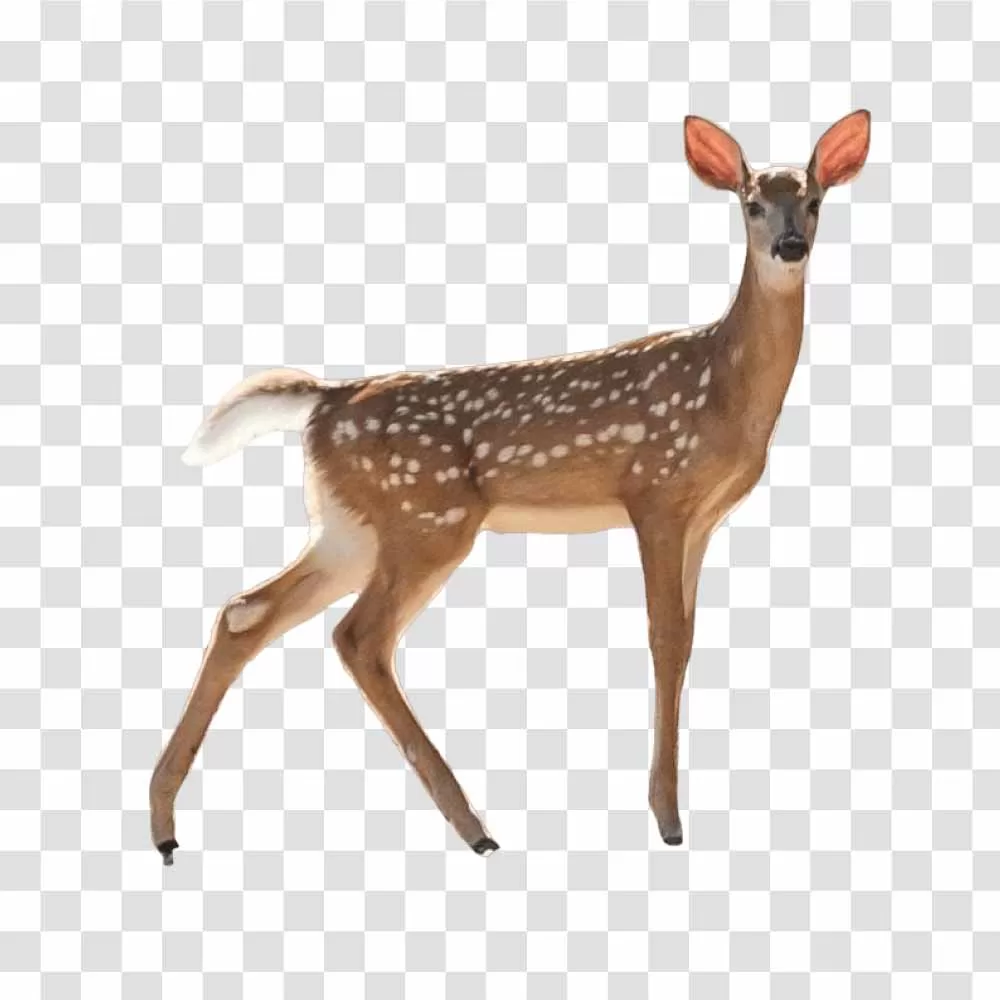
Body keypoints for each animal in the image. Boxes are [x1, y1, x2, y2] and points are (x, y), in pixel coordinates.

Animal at [150, 111, 871, 865]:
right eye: (751, 204)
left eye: (814, 201)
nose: (790, 246)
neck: (724, 389)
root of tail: (324, 402)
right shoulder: (654, 493)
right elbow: (665, 637)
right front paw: (668, 819)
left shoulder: (702, 518)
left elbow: (687, 638)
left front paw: (668, 810)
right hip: (427, 520)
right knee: (357, 636)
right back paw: (476, 828)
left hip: (351, 527)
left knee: (245, 613)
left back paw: (165, 827)